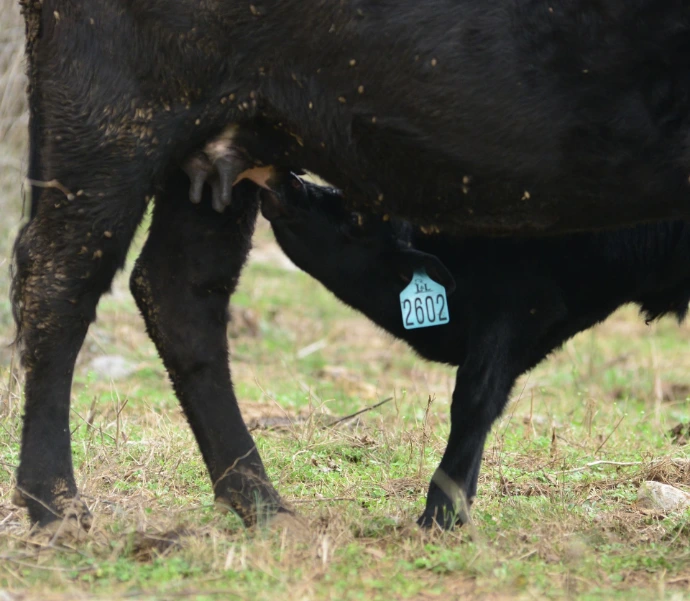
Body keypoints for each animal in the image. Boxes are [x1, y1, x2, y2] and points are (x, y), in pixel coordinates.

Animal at [259, 173, 690, 529]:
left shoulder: (513, 309)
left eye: (355, 218)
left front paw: (440, 513)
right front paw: (458, 506)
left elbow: (474, 402)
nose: (291, 180)